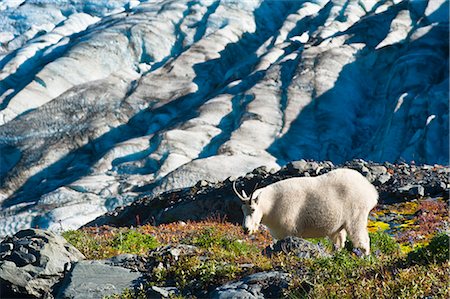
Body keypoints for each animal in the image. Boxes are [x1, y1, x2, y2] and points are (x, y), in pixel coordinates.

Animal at [234, 169, 378, 255]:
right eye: (242, 210)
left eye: (253, 209)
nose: (246, 229)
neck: (271, 205)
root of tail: (371, 191)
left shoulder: (290, 230)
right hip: (339, 225)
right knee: (339, 241)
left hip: (356, 217)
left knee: (363, 241)